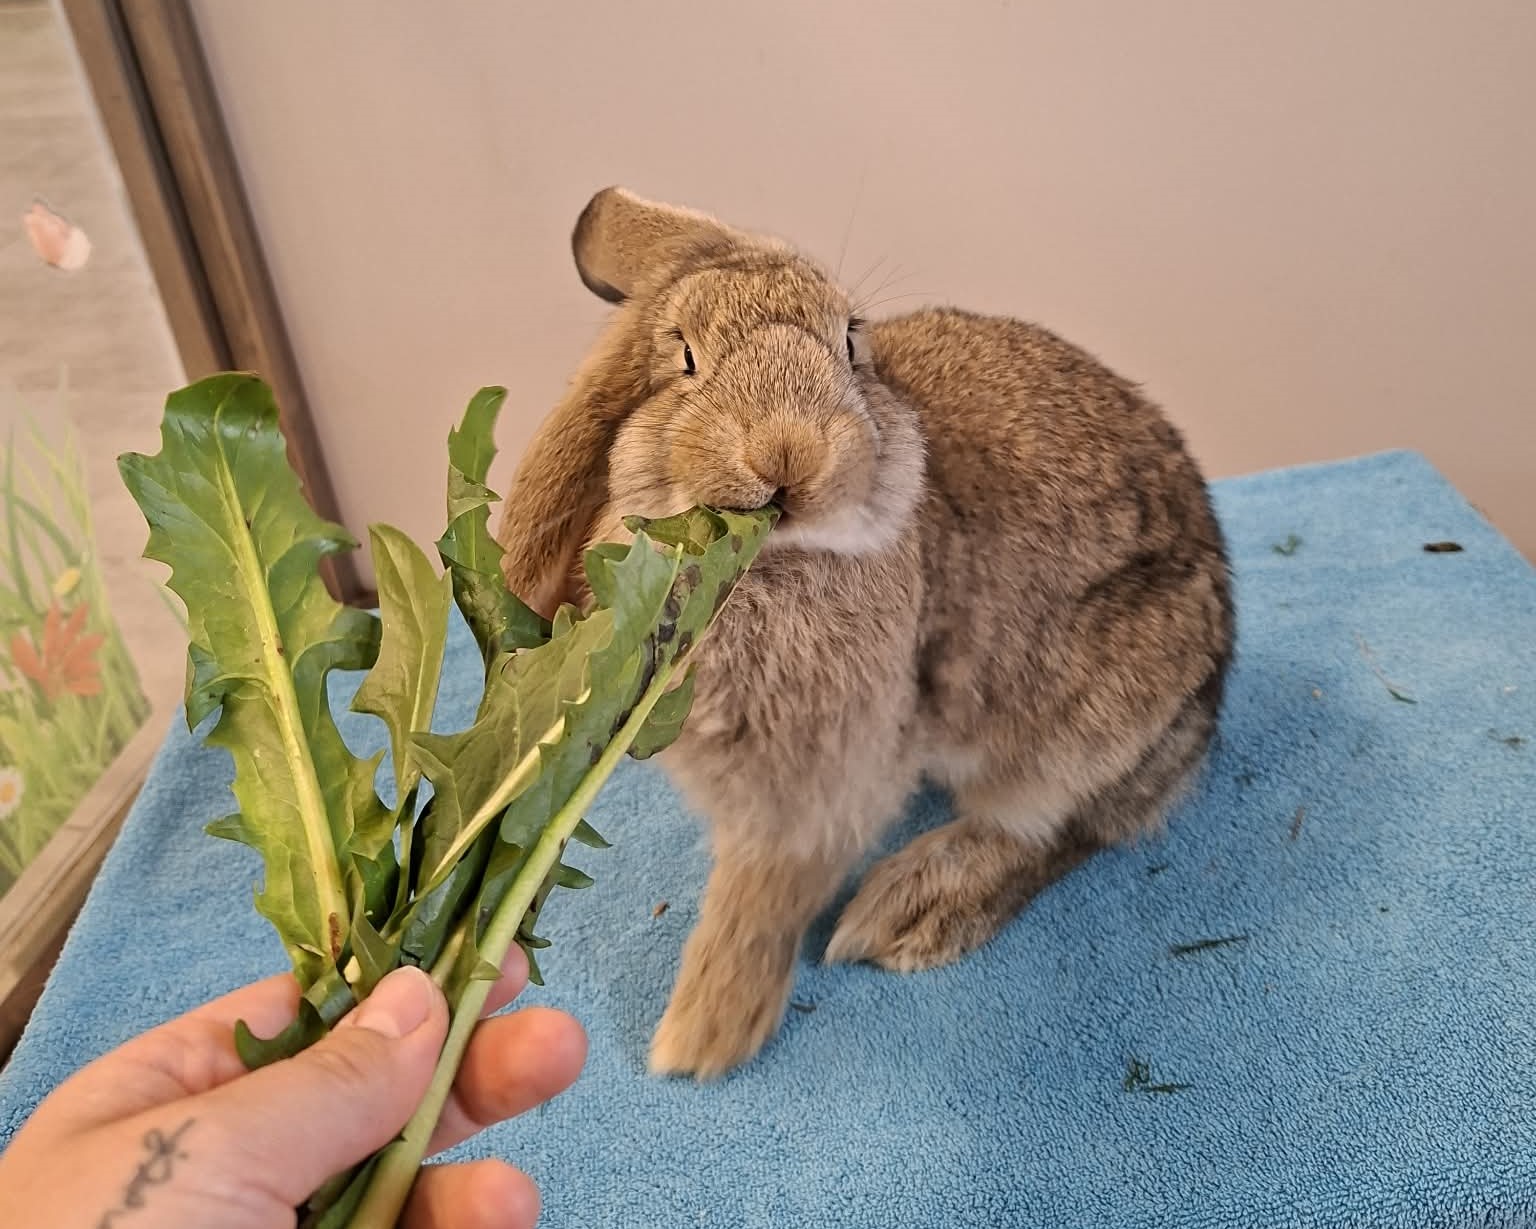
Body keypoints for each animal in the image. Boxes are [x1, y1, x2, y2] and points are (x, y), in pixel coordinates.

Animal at [495, 187, 1235, 1081]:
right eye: (686, 361)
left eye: (849, 344)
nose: (787, 451)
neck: (762, 565)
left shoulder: (819, 777)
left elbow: (762, 895)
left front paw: (701, 1037)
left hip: (1091, 729)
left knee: (1067, 825)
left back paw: (908, 910)